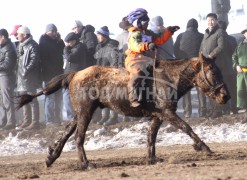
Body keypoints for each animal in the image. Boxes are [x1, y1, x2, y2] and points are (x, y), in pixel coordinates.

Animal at [16, 52, 231, 169]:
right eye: (212, 71)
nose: (226, 96)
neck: (168, 77)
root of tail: (75, 74)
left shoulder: (158, 115)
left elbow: (151, 136)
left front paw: (152, 158)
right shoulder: (168, 113)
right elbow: (186, 127)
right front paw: (204, 147)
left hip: (80, 112)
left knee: (67, 132)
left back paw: (51, 157)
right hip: (85, 112)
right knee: (78, 137)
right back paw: (86, 164)